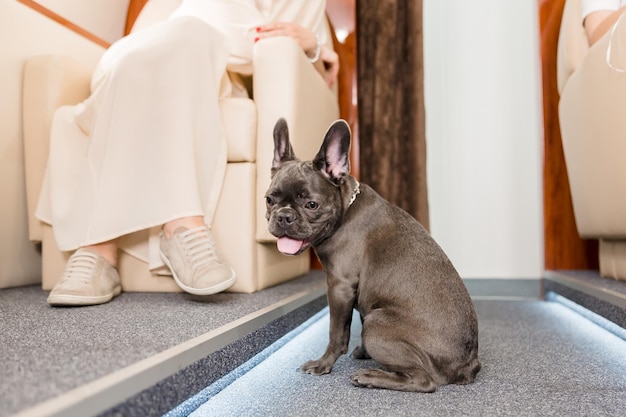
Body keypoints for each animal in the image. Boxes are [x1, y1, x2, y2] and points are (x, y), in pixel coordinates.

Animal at [264, 118, 478, 394]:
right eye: (269, 200)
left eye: (311, 205)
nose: (284, 216)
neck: (345, 210)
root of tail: (468, 366)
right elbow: (356, 318)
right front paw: (362, 353)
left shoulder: (340, 286)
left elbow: (336, 333)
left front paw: (323, 364)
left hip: (377, 324)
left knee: (424, 381)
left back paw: (370, 377)